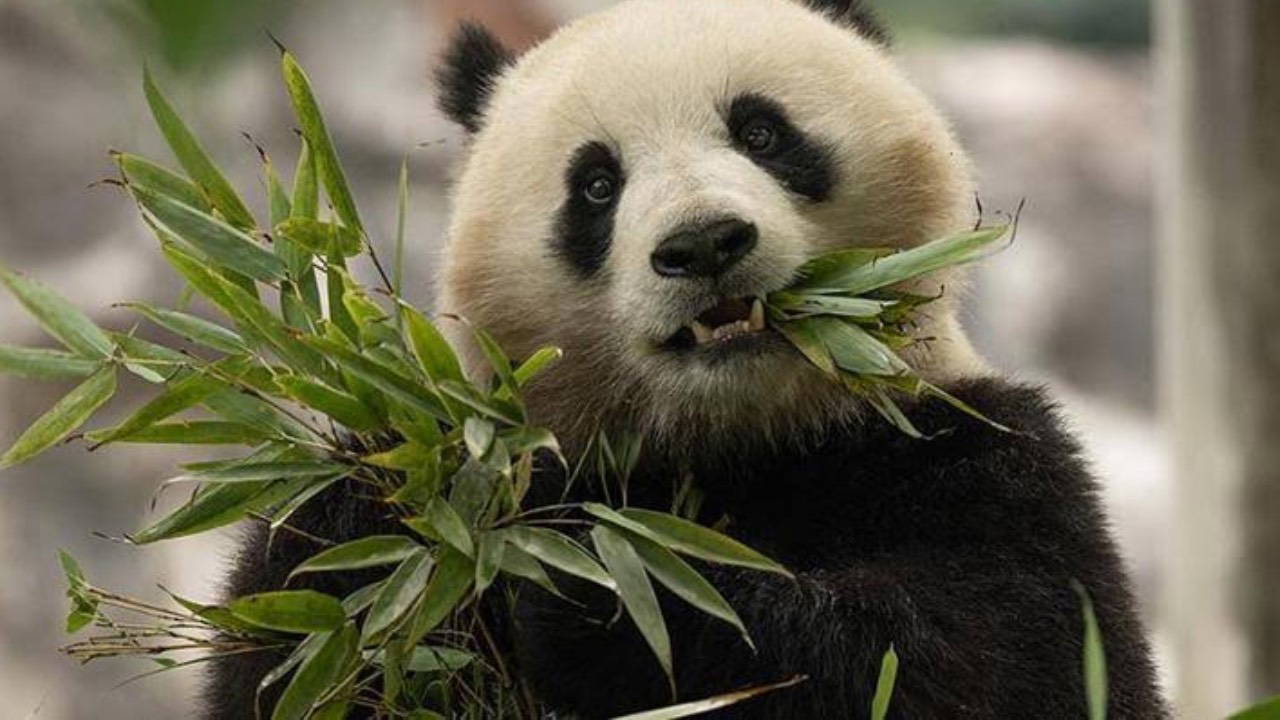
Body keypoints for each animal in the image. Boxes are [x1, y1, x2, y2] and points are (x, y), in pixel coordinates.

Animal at [205, 0, 1169, 717]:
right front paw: (379, 522)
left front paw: (604, 595)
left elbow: (991, 660)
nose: (703, 244)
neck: (736, 439)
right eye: (596, 184)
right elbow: (304, 629)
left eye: (762, 132)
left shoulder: (979, 457)